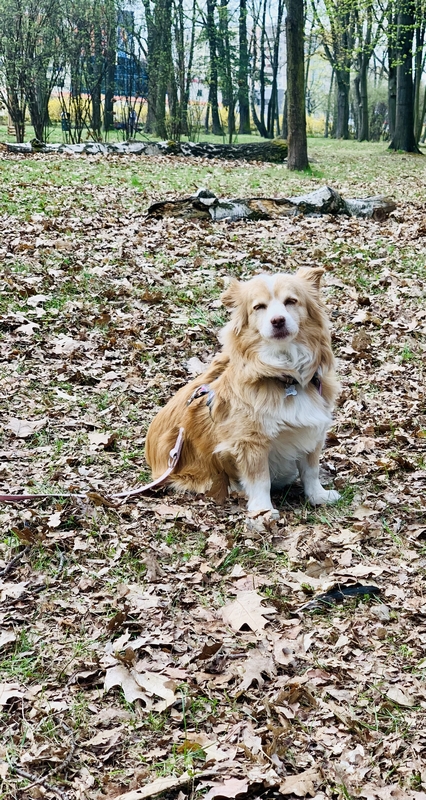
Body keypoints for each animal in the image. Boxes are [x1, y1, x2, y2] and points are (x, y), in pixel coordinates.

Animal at [146, 268, 340, 520]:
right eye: (259, 307)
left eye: (290, 301)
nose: (278, 321)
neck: (285, 377)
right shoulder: (250, 442)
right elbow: (260, 480)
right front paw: (263, 510)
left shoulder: (312, 432)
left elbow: (311, 471)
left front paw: (318, 496)